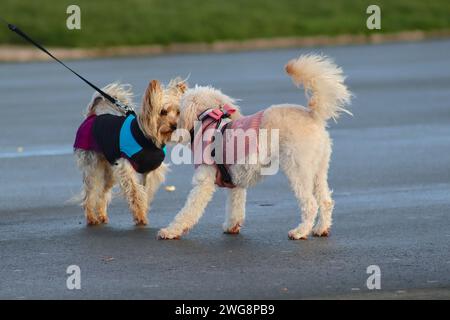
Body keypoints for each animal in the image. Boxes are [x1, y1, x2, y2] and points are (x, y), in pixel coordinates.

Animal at [74, 79, 186, 226]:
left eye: (178, 112)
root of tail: (91, 116)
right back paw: (91, 217)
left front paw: (142, 210)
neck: (147, 139)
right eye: (163, 112)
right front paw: (140, 215)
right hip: (94, 167)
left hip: (109, 171)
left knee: (102, 192)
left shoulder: (149, 173)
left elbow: (145, 192)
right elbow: (135, 192)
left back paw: (101, 215)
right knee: (91, 191)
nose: (175, 125)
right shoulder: (126, 169)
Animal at [158, 55, 352, 240]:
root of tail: (313, 115)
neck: (209, 120)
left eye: (177, 110)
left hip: (298, 170)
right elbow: (235, 206)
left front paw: (171, 231)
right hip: (318, 170)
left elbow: (188, 210)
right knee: (325, 201)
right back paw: (321, 229)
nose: (171, 126)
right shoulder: (234, 182)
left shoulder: (204, 182)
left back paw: (300, 232)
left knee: (310, 204)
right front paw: (232, 226)